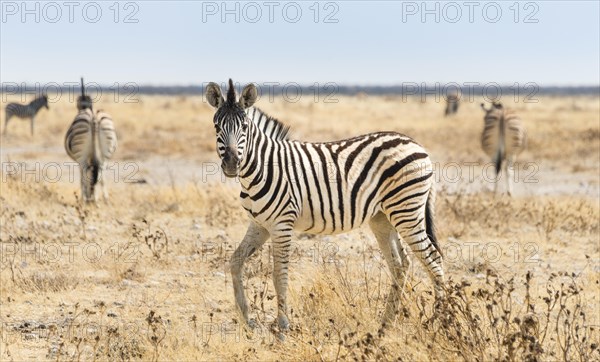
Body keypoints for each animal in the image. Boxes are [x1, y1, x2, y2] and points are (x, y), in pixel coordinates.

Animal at [206, 80, 446, 336]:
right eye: (216, 126)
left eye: (244, 127)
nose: (232, 164)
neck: (261, 168)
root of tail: (416, 144)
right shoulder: (259, 224)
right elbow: (235, 261)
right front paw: (247, 318)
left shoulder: (282, 224)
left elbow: (279, 276)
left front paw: (283, 329)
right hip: (383, 217)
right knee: (401, 264)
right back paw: (385, 325)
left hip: (407, 211)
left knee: (433, 259)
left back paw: (442, 322)